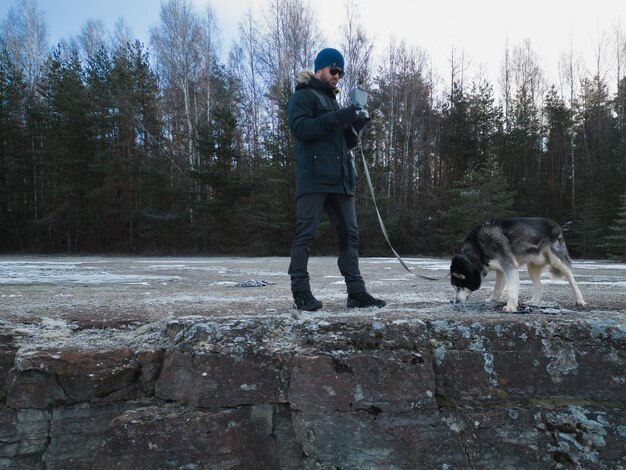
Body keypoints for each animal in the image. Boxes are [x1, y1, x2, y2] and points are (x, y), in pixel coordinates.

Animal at [448, 218, 584, 312]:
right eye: (455, 288)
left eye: (458, 287)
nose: (456, 302)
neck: (478, 247)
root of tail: (557, 226)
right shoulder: (500, 271)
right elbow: (497, 288)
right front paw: (493, 300)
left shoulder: (509, 265)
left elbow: (511, 289)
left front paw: (511, 306)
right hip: (532, 267)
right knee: (539, 287)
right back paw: (534, 302)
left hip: (557, 261)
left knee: (571, 278)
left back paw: (580, 300)